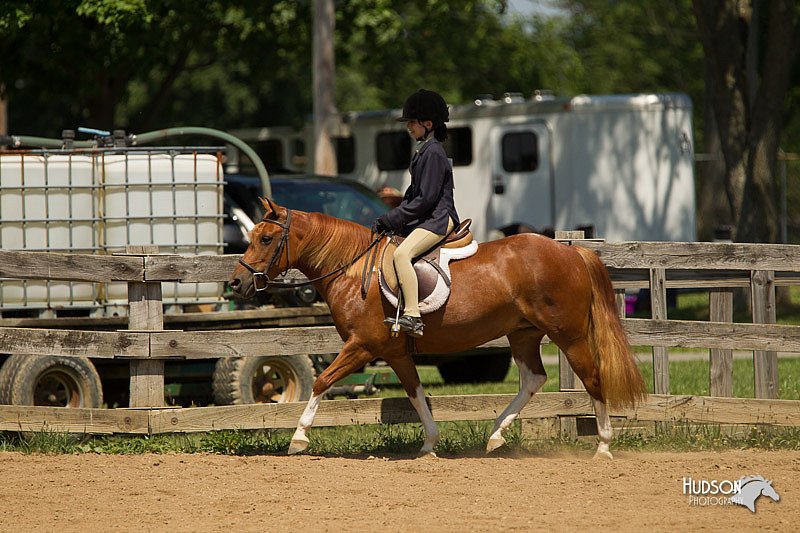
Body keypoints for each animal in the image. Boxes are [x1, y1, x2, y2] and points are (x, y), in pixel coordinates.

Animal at [228, 198, 648, 458]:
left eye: (266, 238)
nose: (236, 283)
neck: (352, 267)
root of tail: (570, 251)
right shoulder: (395, 351)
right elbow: (416, 394)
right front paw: (430, 444)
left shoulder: (362, 345)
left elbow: (321, 381)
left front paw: (298, 438)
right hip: (524, 333)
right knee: (533, 378)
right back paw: (495, 435)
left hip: (569, 334)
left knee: (592, 377)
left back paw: (603, 446)